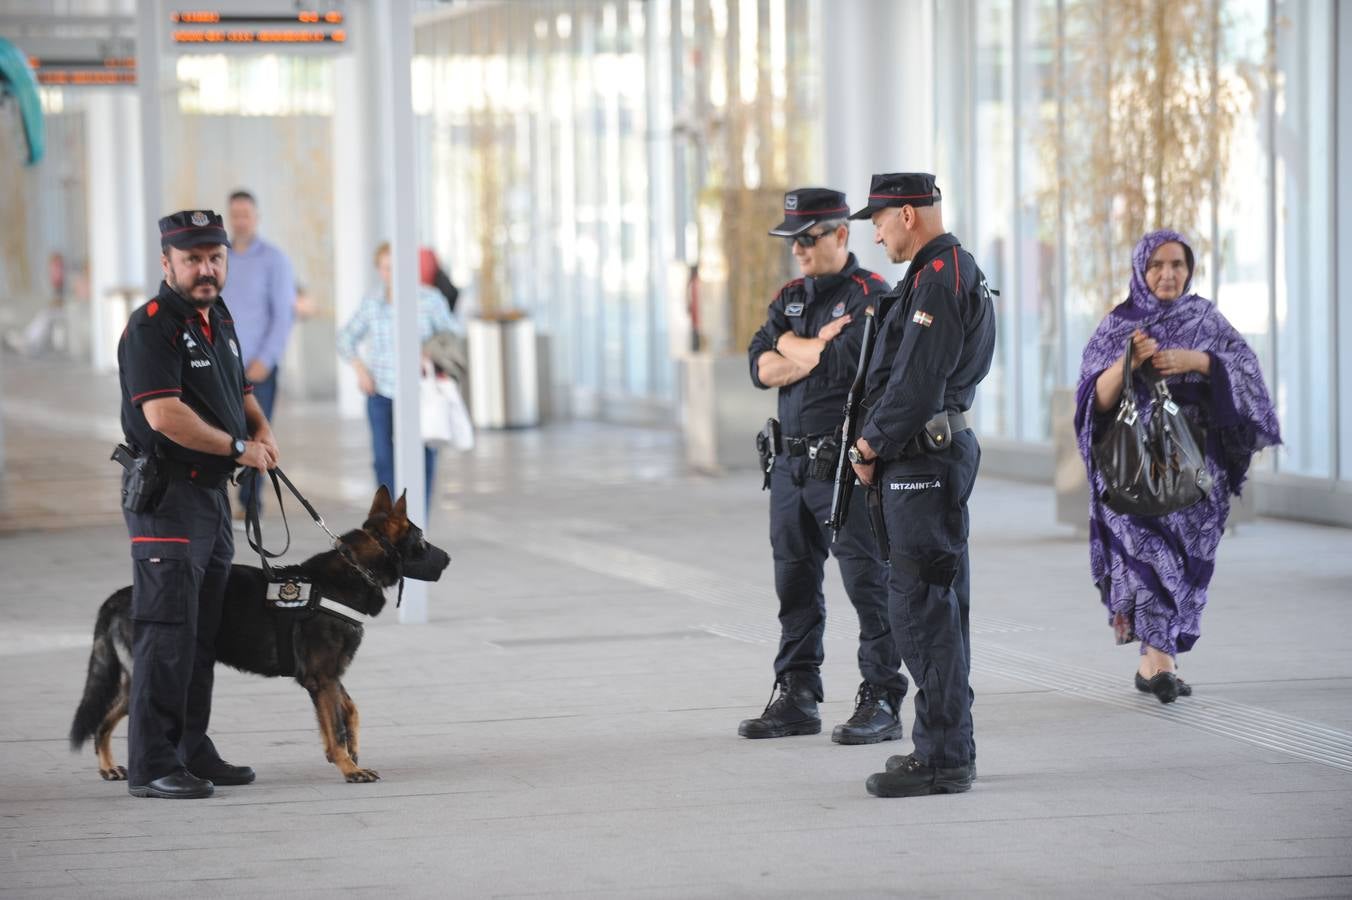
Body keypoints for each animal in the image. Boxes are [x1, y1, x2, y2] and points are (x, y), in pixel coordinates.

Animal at [69, 483, 448, 778]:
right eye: (422, 541)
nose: (448, 560)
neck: (355, 569)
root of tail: (120, 596)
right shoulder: (321, 678)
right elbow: (336, 726)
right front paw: (349, 768)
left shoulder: (328, 676)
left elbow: (349, 711)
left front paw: (349, 754)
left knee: (103, 721)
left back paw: (108, 766)